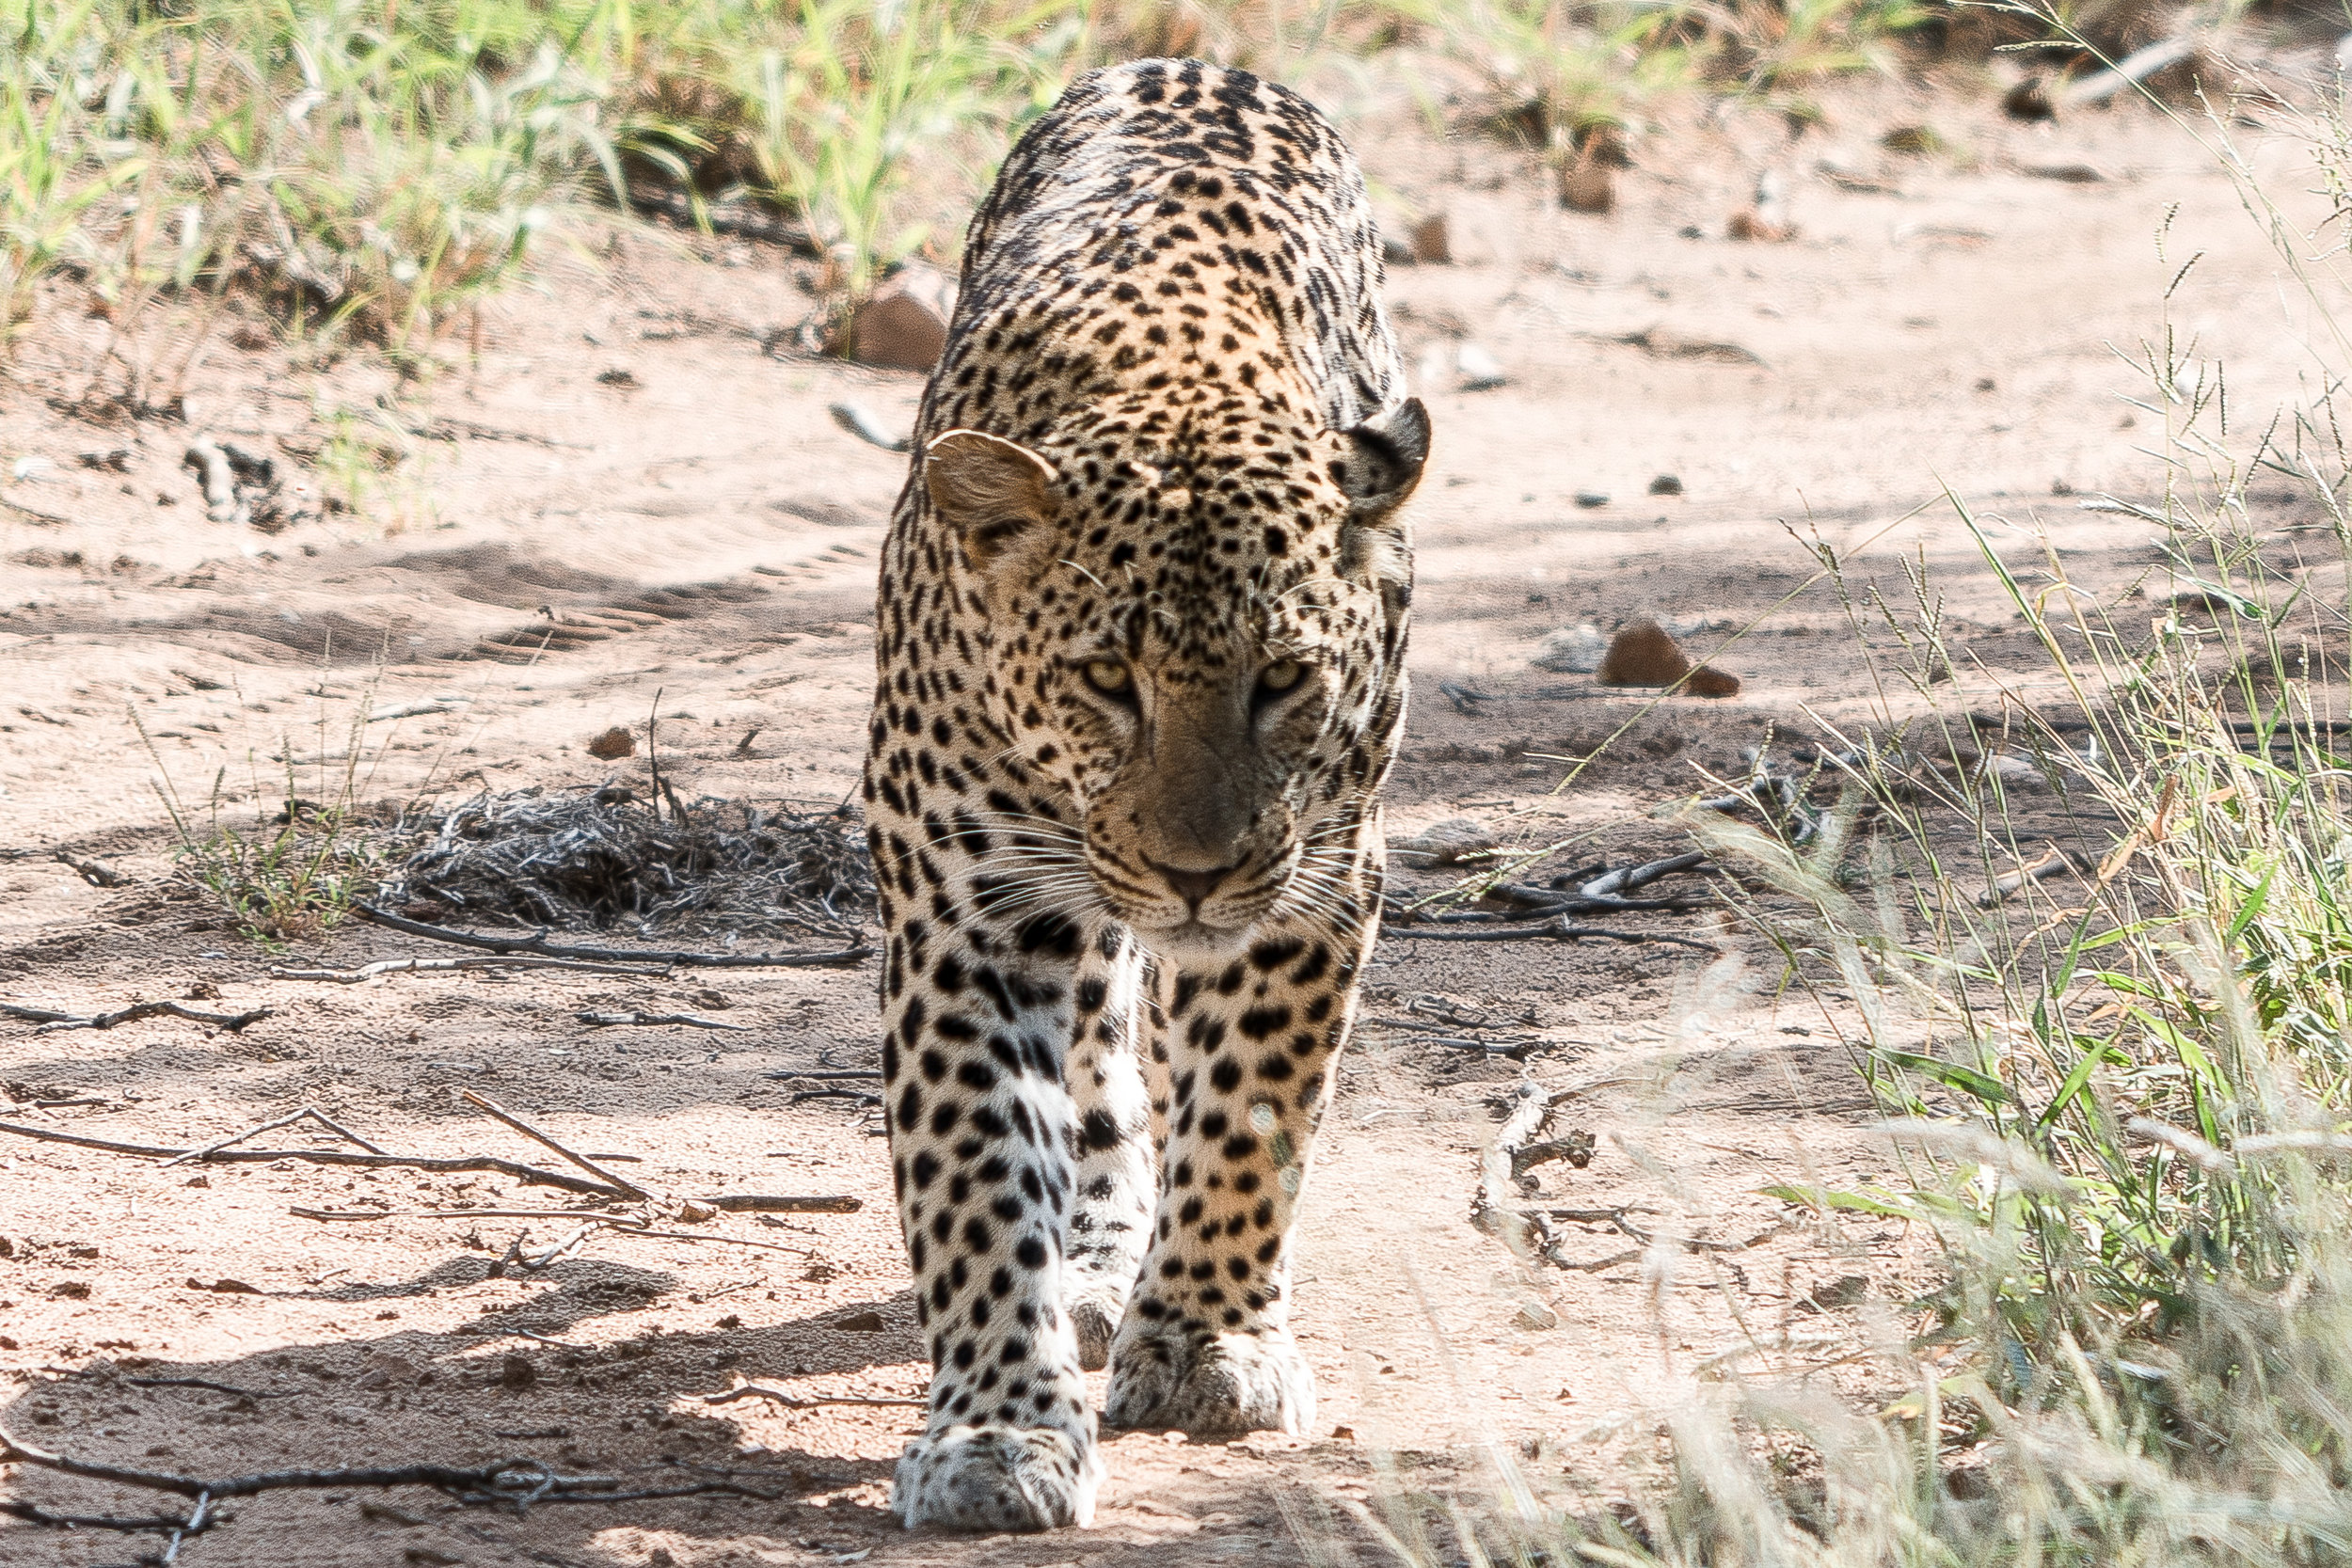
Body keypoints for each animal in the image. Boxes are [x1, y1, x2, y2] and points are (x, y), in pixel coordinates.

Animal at [860, 55, 1429, 1533]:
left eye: (1282, 678)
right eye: (1104, 678)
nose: (1193, 870)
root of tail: (1190, 62)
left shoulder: (1317, 879)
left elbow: (1250, 1118)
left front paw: (1210, 1342)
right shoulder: (969, 909)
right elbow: (977, 1170)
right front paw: (999, 1427)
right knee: (1102, 1065)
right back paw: (1096, 1252)